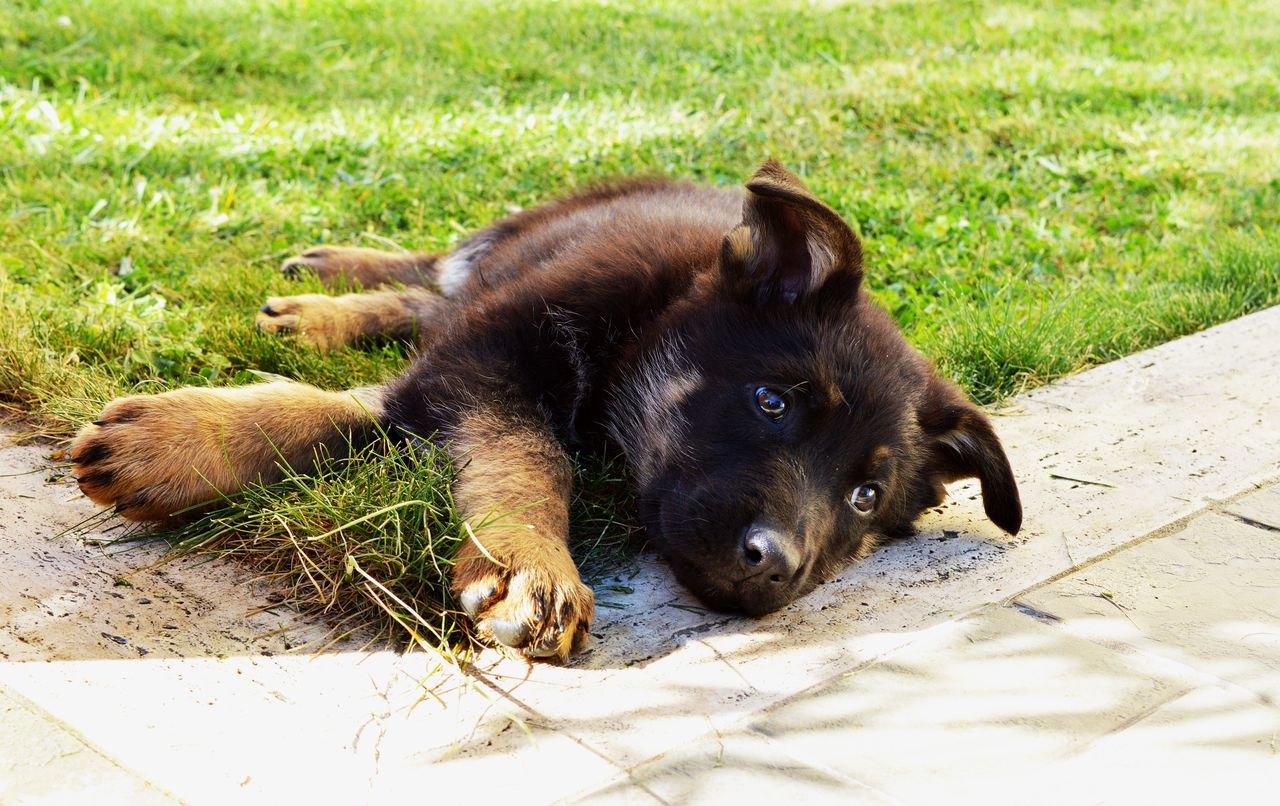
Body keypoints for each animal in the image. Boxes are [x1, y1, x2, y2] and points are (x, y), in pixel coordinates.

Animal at [74, 162, 1024, 665]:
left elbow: (372, 411)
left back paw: (318, 313)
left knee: (426, 299)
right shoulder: (485, 358)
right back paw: (326, 279)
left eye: (866, 498)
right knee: (435, 269)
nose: (777, 565)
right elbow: (524, 453)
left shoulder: (465, 365)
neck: (648, 322)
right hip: (512, 240)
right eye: (771, 401)